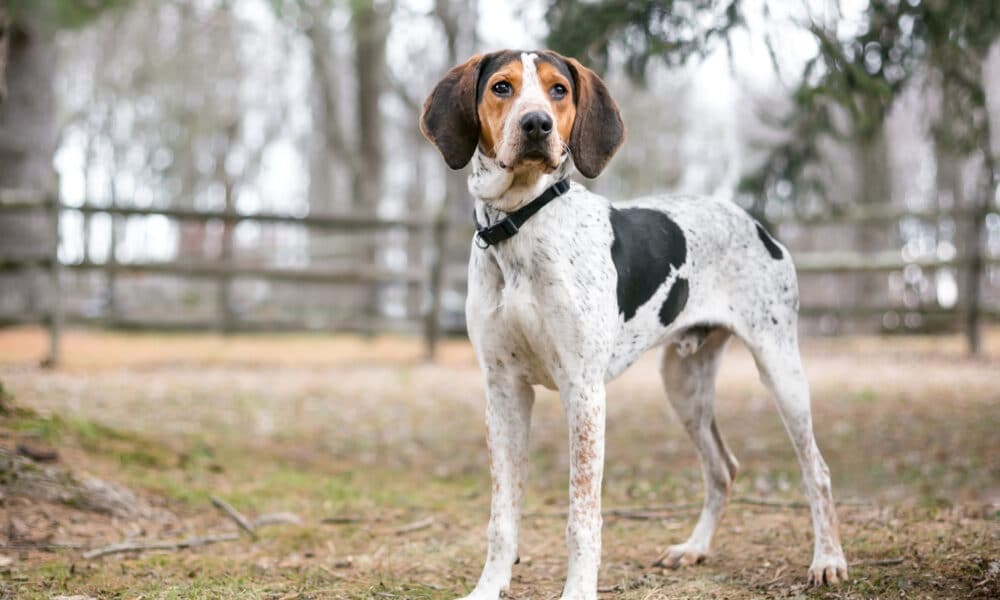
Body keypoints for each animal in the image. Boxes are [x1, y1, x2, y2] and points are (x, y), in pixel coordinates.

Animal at [418, 50, 848, 600]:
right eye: (501, 87)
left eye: (558, 90)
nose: (536, 125)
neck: (522, 224)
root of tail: (756, 224)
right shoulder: (504, 390)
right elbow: (502, 516)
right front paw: (489, 587)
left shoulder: (583, 391)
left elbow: (582, 517)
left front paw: (578, 591)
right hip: (683, 384)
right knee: (722, 469)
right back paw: (694, 548)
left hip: (781, 371)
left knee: (817, 470)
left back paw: (828, 560)